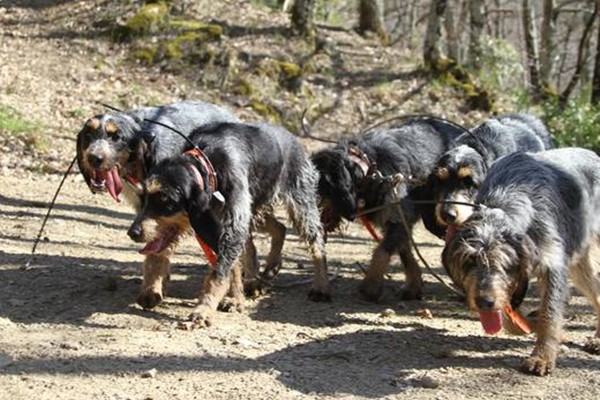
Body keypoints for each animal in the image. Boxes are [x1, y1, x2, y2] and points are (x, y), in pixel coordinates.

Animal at [128, 122, 330, 328]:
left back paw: (321, 286)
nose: (133, 232)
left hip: (300, 206)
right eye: (144, 198)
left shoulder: (231, 226)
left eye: (165, 200)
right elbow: (159, 254)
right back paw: (266, 270)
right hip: (255, 210)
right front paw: (151, 289)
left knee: (317, 243)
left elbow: (220, 272)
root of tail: (292, 137)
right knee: (277, 229)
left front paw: (204, 308)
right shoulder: (214, 226)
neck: (209, 166)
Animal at [312, 120, 462, 302]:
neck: (370, 171)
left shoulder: (398, 217)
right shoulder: (399, 221)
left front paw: (370, 286)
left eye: (318, 187)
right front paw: (413, 285)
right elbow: (405, 253)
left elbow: (381, 251)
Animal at [440, 147, 600, 376]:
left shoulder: (554, 264)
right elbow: (510, 319)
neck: (508, 195)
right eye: (469, 261)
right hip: (580, 264)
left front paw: (542, 357)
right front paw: (531, 323)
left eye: (504, 263)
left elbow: (550, 313)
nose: (484, 302)